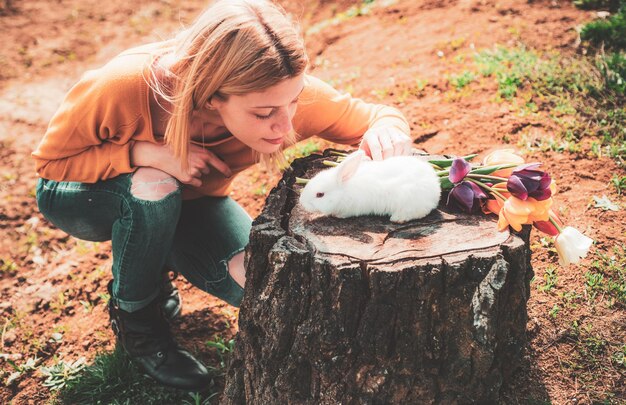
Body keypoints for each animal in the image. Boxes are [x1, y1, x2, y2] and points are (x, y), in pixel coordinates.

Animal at [298, 150, 438, 223]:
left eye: (320, 195)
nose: (302, 202)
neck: (343, 191)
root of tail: (436, 187)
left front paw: (336, 216)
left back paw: (396, 219)